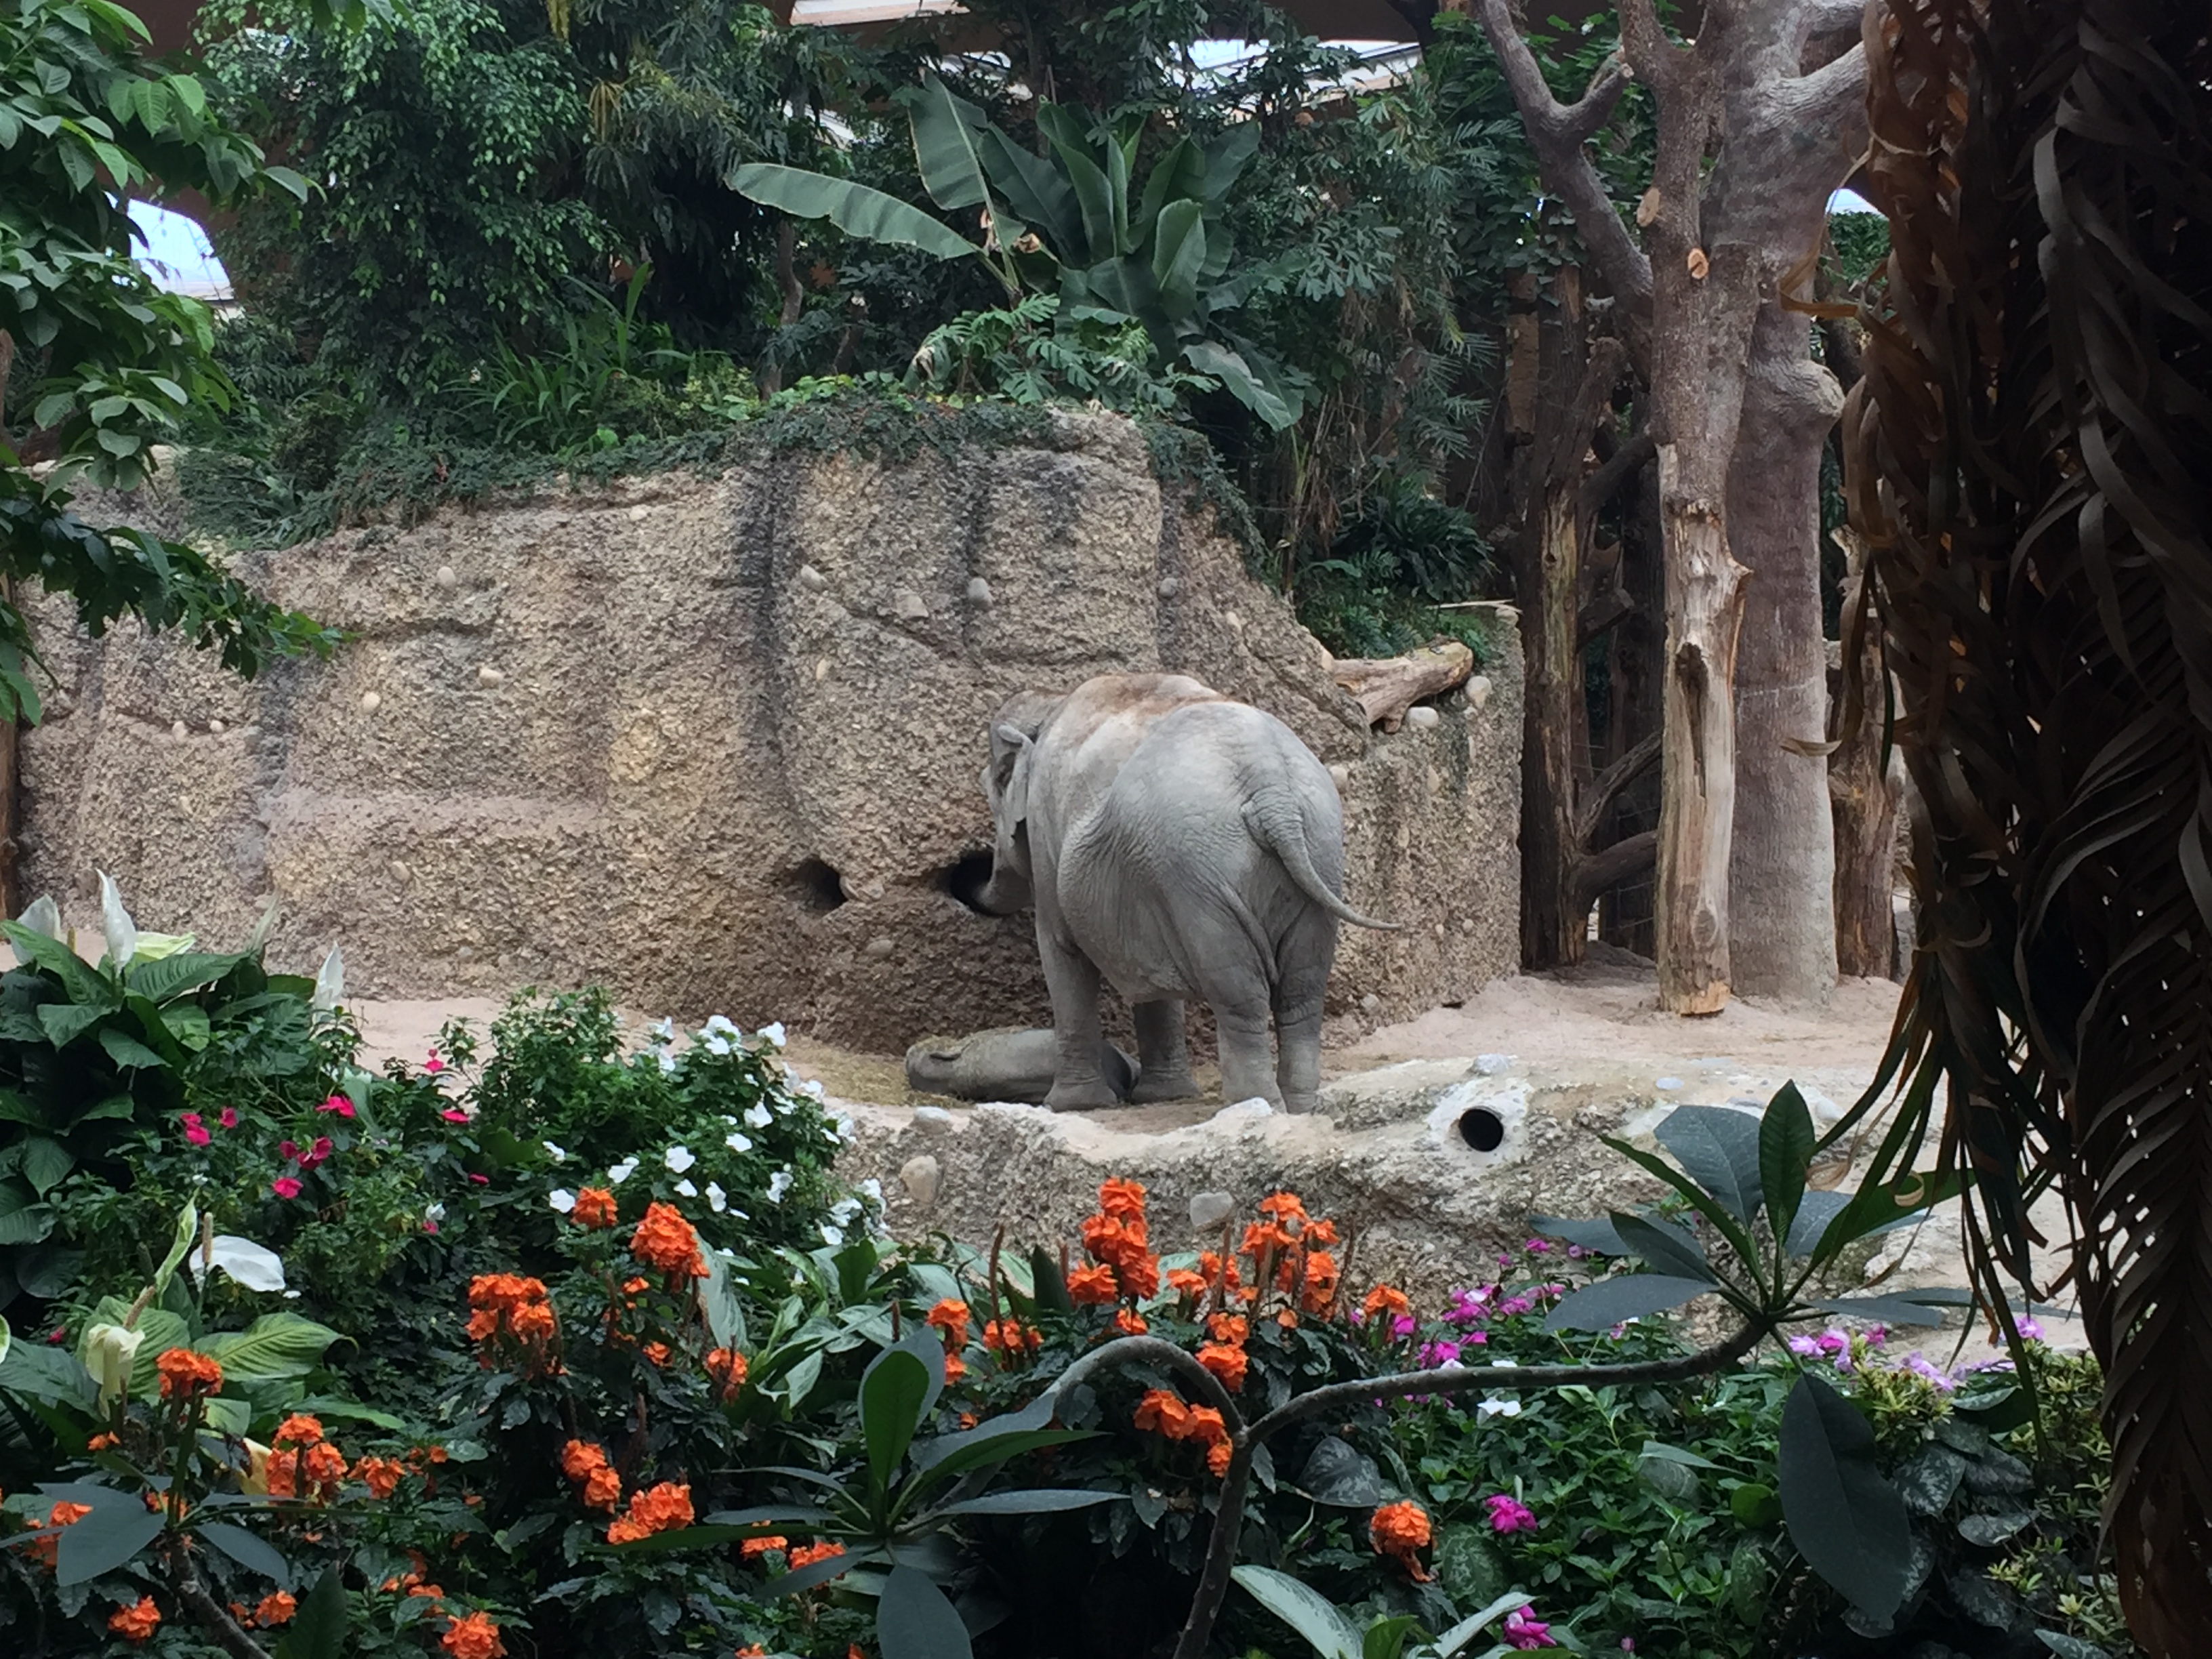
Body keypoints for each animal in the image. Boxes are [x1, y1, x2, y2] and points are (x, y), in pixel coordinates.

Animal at [970, 672, 1394, 1114]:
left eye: (991, 787)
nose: (964, 874)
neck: (1050, 703)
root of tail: (1269, 784)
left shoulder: (1046, 834)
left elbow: (1060, 949)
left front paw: (1071, 1106)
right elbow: (1147, 965)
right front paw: (1164, 1096)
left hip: (1200, 871)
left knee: (1238, 990)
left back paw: (1254, 1107)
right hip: (1318, 850)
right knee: (1302, 990)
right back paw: (1299, 1108)